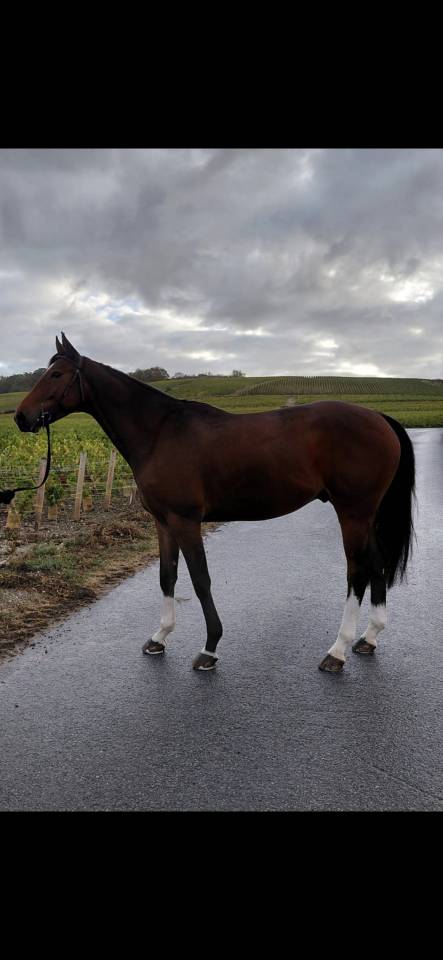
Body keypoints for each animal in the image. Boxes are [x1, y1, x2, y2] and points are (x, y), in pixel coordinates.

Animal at [14, 333, 415, 674]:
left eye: (56, 374)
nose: (20, 417)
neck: (159, 433)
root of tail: (379, 418)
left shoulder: (185, 521)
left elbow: (200, 580)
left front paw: (209, 648)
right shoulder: (163, 521)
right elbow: (167, 576)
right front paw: (159, 638)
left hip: (353, 512)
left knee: (357, 572)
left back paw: (337, 651)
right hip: (364, 515)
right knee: (377, 564)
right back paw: (369, 638)